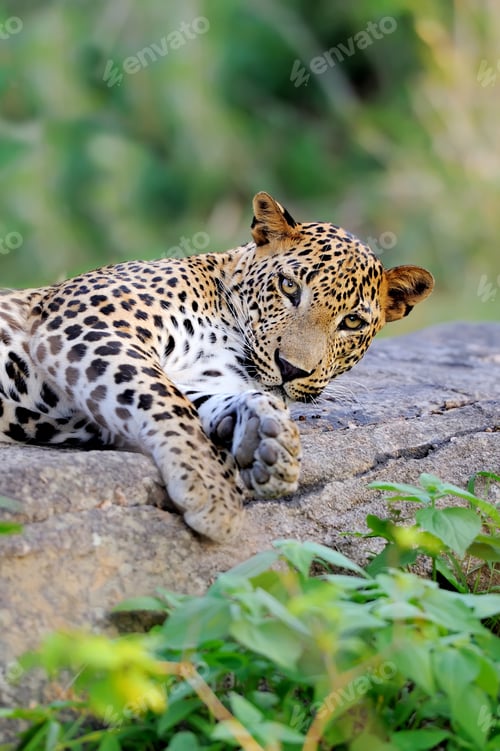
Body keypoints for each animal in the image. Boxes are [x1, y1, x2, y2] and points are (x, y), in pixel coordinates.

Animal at [0, 192, 434, 541]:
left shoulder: (200, 376)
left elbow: (199, 400)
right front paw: (212, 491)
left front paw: (268, 439)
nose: (290, 369)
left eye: (352, 322)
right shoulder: (90, 325)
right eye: (289, 287)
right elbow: (164, 399)